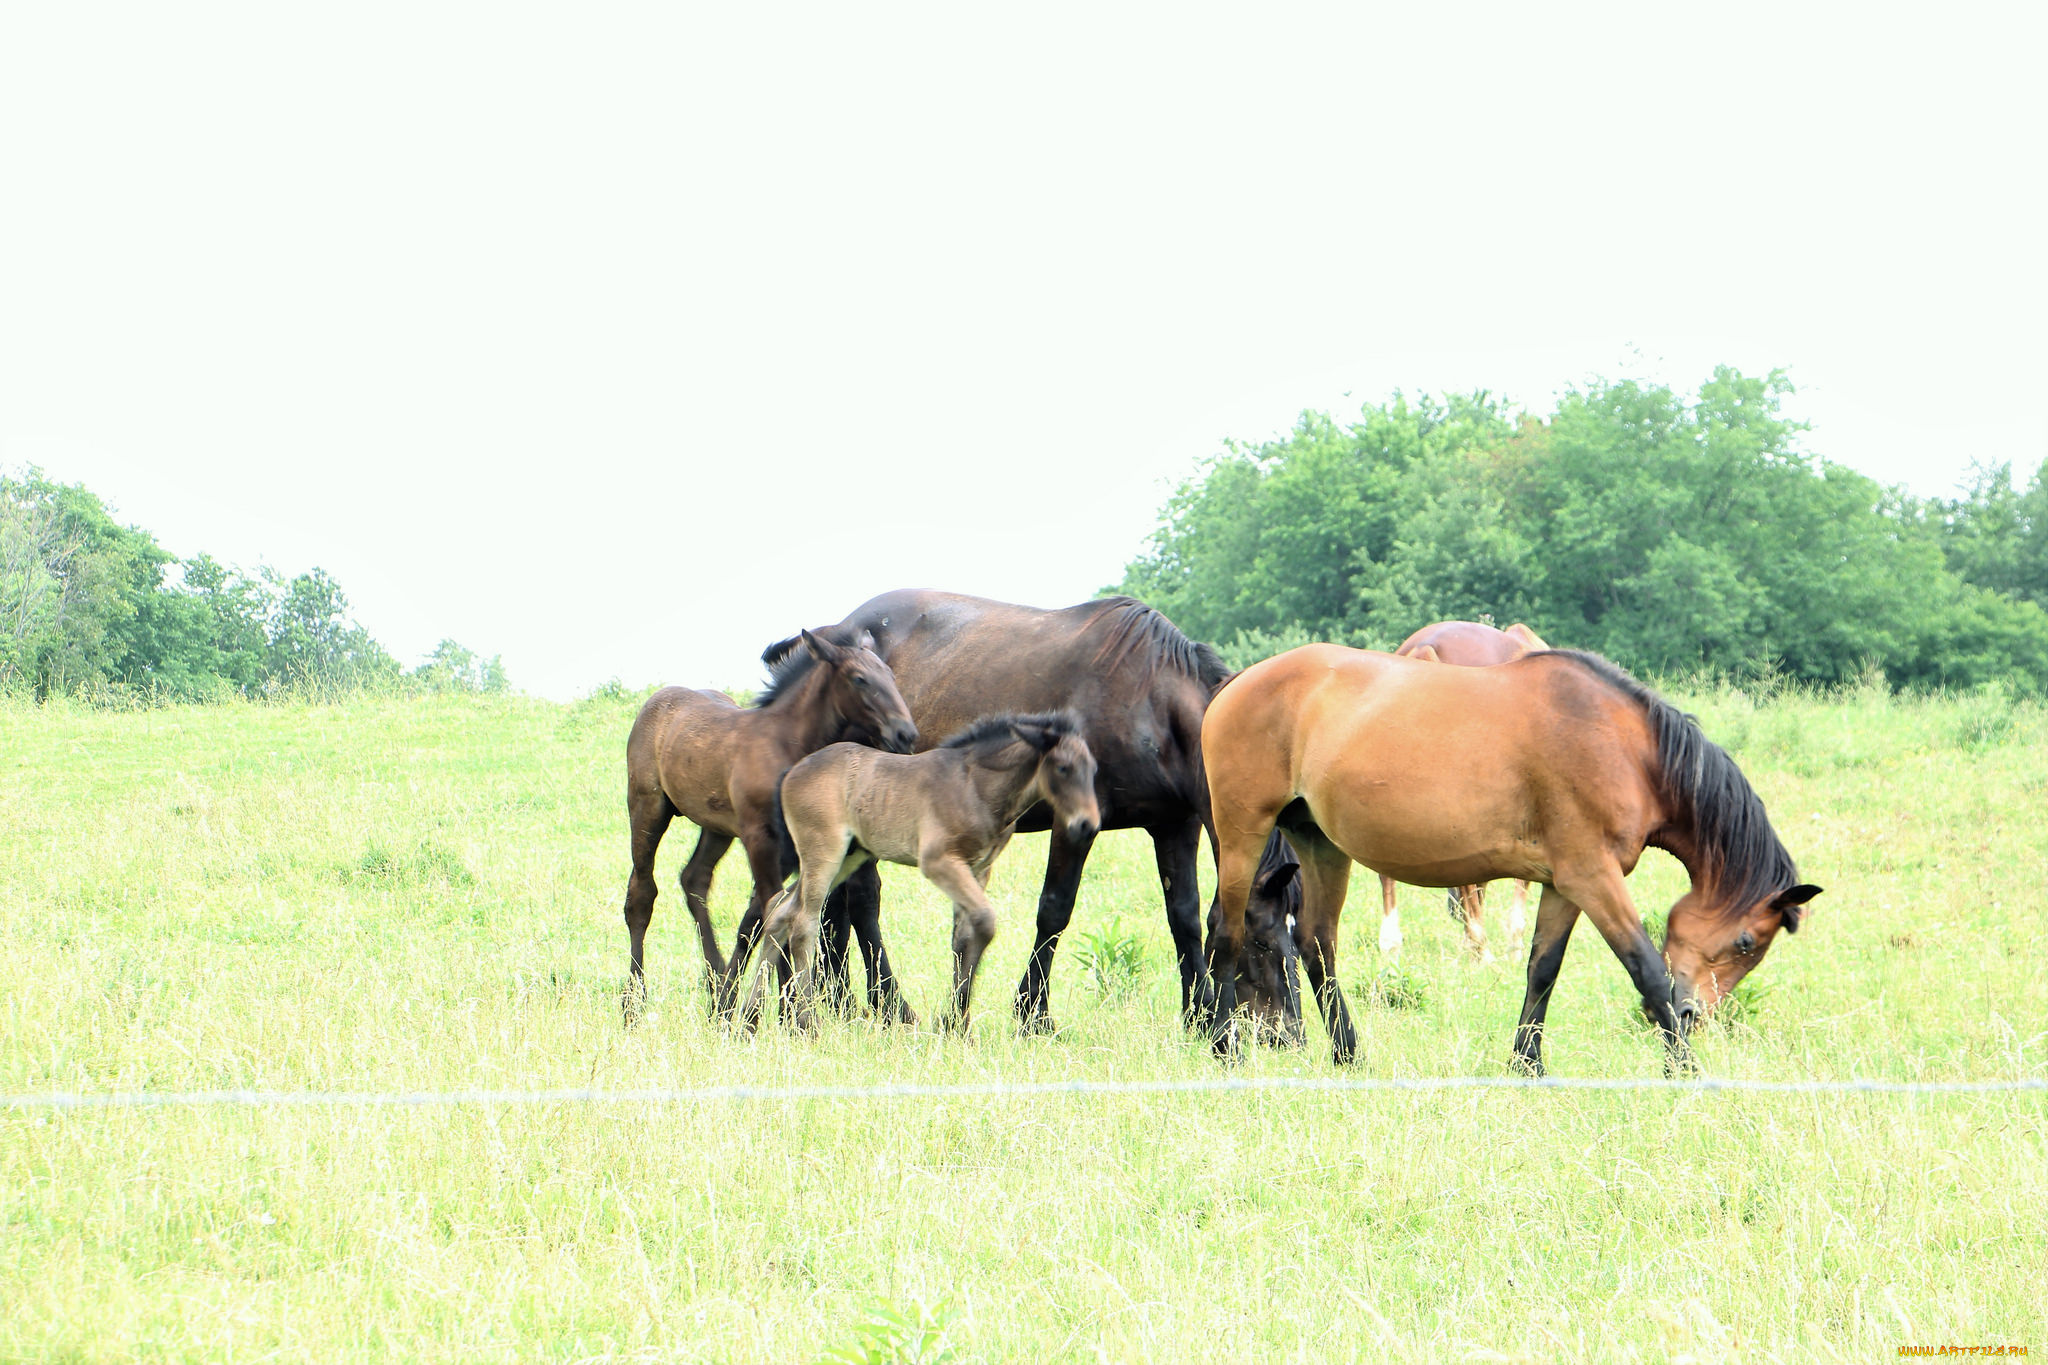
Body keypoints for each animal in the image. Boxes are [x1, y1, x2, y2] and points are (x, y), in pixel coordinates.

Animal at [618, 628, 918, 1021]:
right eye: (859, 679)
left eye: (892, 677)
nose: (906, 735)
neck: (786, 743)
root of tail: (656, 700)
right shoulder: (759, 836)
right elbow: (774, 908)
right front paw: (787, 1011)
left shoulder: (796, 842)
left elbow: (778, 911)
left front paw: (782, 1007)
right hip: (647, 806)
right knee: (641, 892)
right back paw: (634, 1000)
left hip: (717, 828)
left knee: (694, 878)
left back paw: (718, 986)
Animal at [740, 711, 1102, 1033]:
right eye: (1063, 767)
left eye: (1093, 769)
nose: (1088, 825)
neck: (975, 785)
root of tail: (791, 772)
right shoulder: (939, 862)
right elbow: (985, 922)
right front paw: (953, 1021)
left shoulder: (978, 868)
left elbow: (963, 936)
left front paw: (955, 1024)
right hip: (823, 854)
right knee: (803, 922)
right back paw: (806, 1024)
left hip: (848, 857)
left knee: (779, 910)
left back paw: (748, 1020)